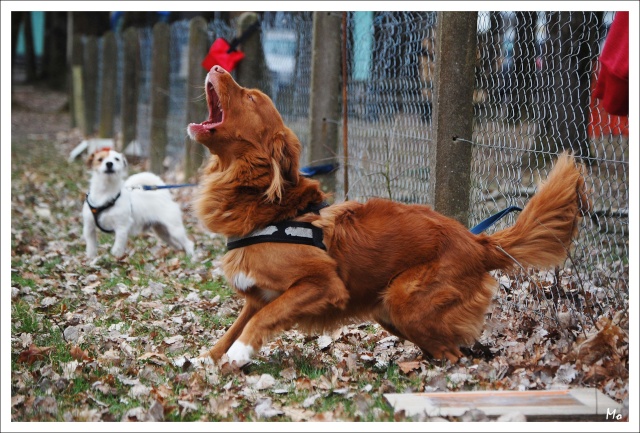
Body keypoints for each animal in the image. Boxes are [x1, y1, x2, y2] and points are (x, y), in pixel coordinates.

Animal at [186, 65, 592, 364]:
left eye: (251, 97)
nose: (217, 66)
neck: (268, 206)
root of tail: (478, 242)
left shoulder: (321, 284)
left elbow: (260, 320)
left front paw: (240, 354)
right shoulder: (258, 294)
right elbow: (235, 325)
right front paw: (210, 358)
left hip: (404, 300)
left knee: (454, 354)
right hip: (389, 311)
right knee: (447, 348)